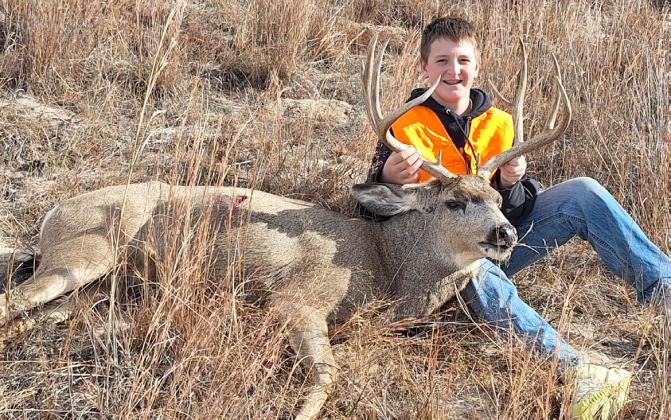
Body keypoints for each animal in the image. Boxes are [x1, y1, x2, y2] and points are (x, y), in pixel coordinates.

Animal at [0, 35, 570, 419]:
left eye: (497, 198)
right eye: (455, 201)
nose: (505, 234)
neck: (384, 265)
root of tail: (52, 213)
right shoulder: (296, 297)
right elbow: (327, 377)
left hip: (104, 286)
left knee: (37, 314)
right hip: (86, 250)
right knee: (17, 299)